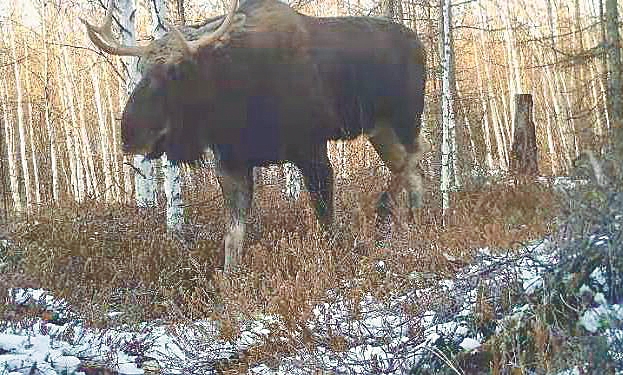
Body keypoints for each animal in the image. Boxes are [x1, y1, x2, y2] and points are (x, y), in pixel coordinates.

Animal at [83, 0, 432, 272]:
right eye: (140, 67)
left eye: (176, 70)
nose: (131, 133)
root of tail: (422, 46)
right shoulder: (232, 163)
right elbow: (232, 238)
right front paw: (229, 286)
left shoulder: (311, 148)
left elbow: (325, 216)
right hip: (380, 129)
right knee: (411, 169)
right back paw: (416, 222)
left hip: (404, 117)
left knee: (418, 154)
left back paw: (387, 208)